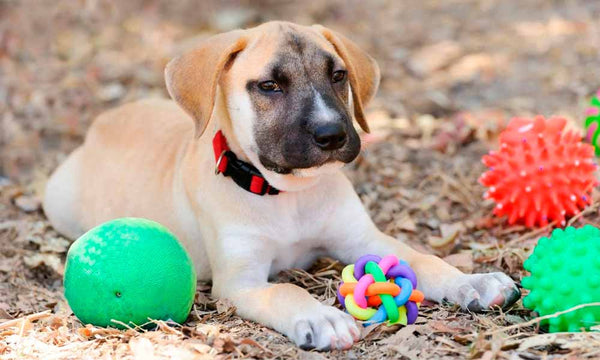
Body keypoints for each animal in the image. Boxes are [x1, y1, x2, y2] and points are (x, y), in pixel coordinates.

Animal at [43, 21, 520, 348]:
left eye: (338, 76)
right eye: (270, 86)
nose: (332, 135)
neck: (288, 195)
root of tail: (103, 121)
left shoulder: (365, 239)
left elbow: (424, 259)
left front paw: (472, 282)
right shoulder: (240, 284)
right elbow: (286, 290)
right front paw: (322, 318)